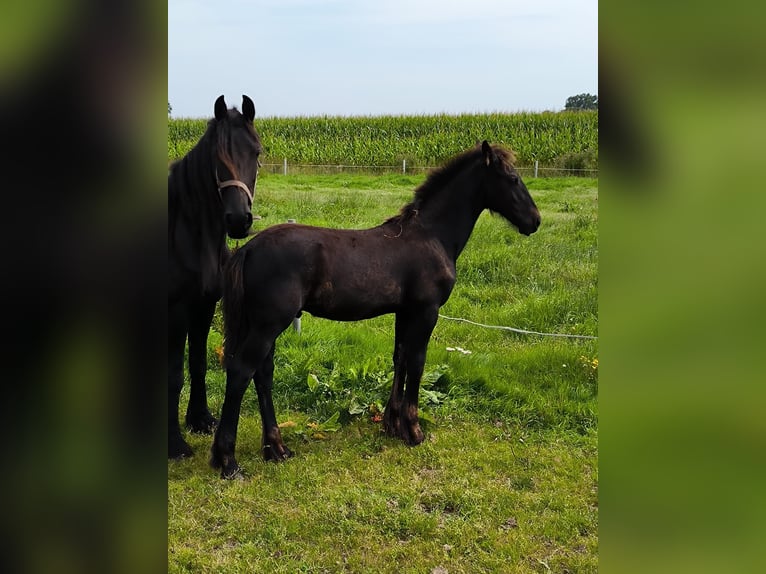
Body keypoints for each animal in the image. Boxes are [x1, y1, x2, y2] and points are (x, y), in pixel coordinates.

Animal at [169, 97, 262, 462]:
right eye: (217, 157)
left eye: (257, 152)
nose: (238, 220)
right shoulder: (178, 309)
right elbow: (175, 373)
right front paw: (175, 443)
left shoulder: (205, 304)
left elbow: (197, 364)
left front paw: (200, 419)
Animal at [213, 142, 544, 480]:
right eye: (513, 178)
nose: (535, 220)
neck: (431, 236)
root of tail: (249, 248)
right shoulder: (426, 312)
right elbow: (418, 363)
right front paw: (413, 430)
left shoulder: (405, 312)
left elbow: (400, 359)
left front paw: (392, 424)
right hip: (269, 325)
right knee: (241, 371)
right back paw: (228, 461)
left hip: (263, 325)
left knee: (262, 374)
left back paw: (277, 449)